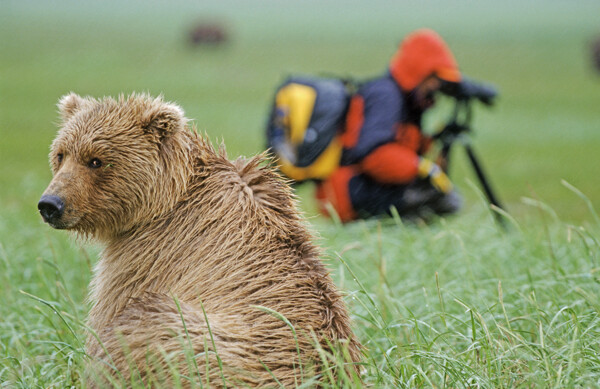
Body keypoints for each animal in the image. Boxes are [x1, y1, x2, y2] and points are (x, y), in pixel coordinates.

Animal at [39, 93, 364, 384]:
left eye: (96, 160)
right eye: (61, 154)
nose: (51, 204)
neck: (163, 201)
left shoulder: (148, 253)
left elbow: (108, 315)